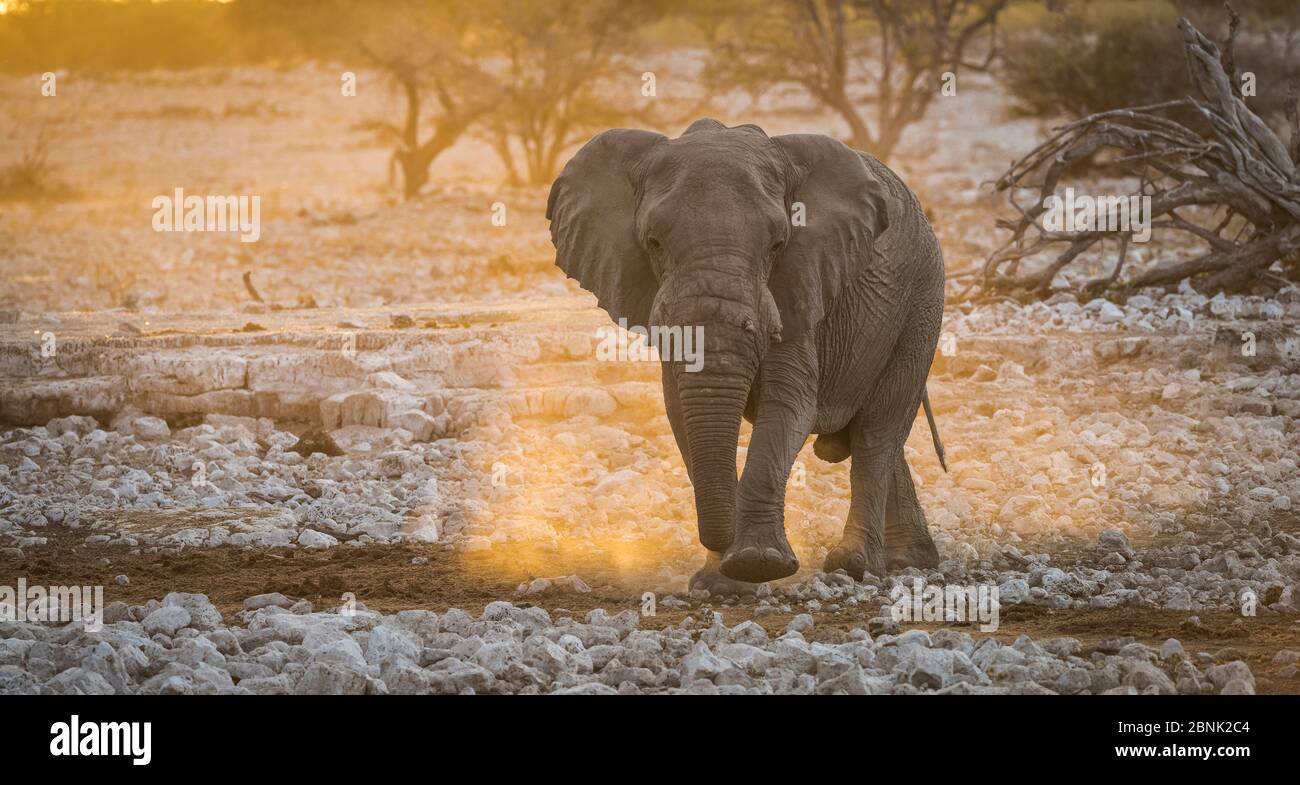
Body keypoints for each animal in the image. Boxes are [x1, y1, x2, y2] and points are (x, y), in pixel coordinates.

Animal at [543, 118, 951, 587]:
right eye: (654, 243)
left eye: (776, 245)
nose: (720, 542)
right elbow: (681, 410)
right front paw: (720, 583)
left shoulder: (800, 282)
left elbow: (789, 404)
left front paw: (758, 564)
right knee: (886, 434)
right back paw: (908, 561)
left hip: (922, 301)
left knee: (877, 432)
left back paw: (855, 565)